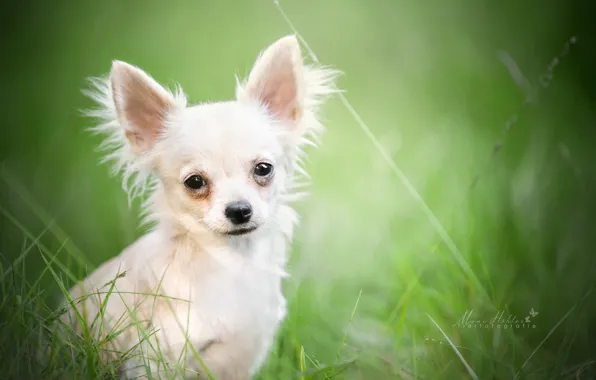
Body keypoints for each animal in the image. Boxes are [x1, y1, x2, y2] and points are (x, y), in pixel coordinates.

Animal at [60, 34, 340, 378]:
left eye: (263, 169)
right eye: (194, 182)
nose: (239, 210)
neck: (232, 264)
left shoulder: (243, 356)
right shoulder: (155, 356)